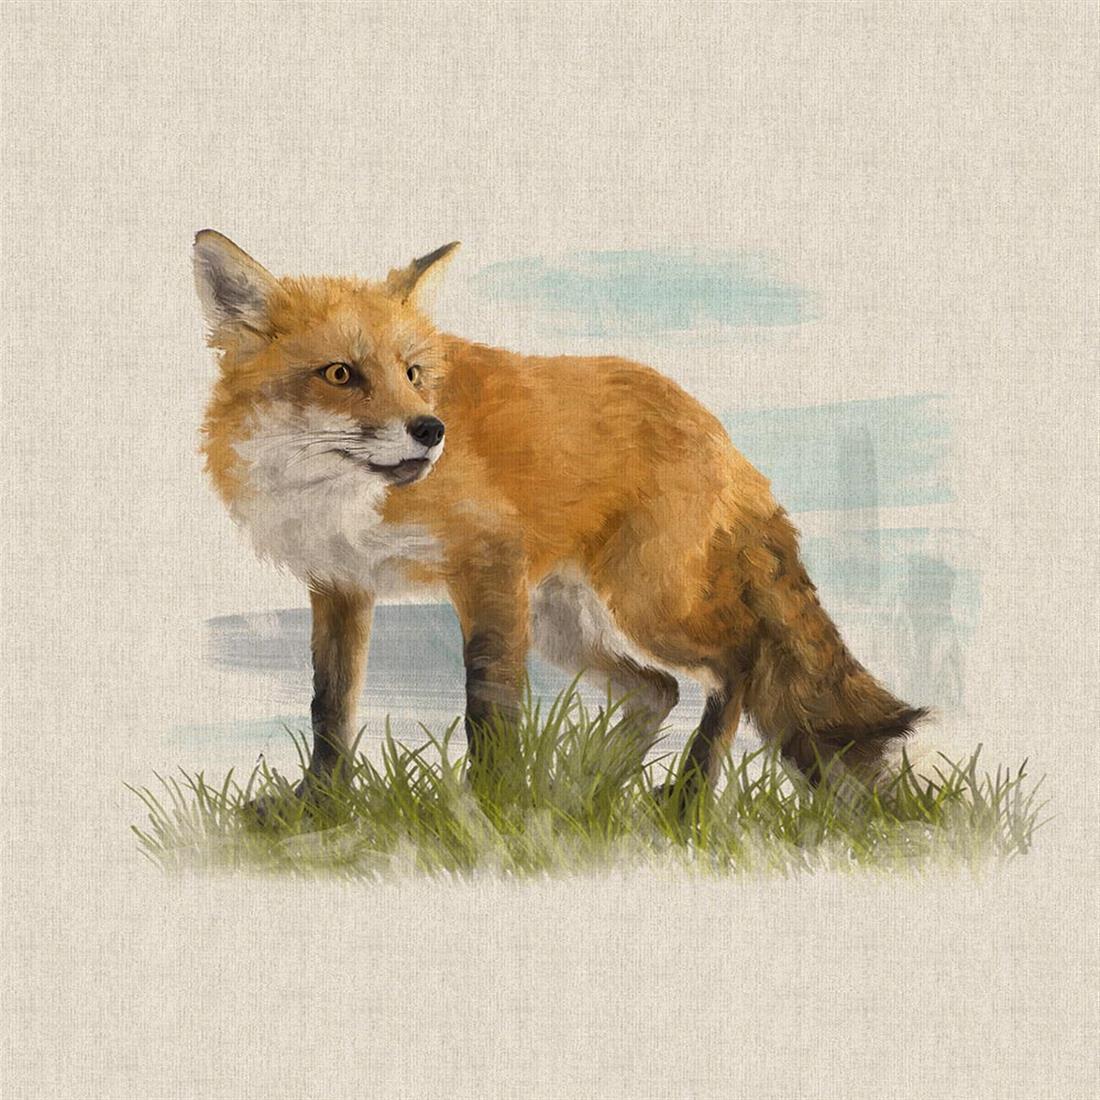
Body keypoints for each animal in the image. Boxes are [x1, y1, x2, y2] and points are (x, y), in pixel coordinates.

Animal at [193, 229, 926, 796]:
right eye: (341, 374)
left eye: (413, 373)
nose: (430, 430)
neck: (342, 499)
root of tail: (714, 428)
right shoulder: (340, 587)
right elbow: (330, 707)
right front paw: (320, 805)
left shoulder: (487, 566)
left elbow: (490, 704)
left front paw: (491, 807)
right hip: (562, 624)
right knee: (656, 689)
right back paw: (590, 791)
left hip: (648, 602)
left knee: (738, 659)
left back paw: (683, 799)